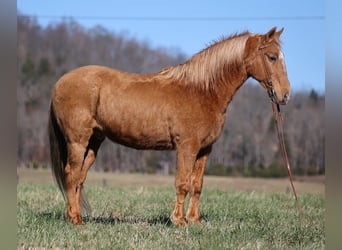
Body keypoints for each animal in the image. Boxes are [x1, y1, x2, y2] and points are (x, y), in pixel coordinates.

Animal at [48, 26, 288, 226]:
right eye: (272, 57)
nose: (284, 95)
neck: (202, 90)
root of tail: (60, 82)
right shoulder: (186, 147)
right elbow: (182, 183)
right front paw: (179, 220)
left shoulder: (205, 149)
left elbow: (197, 184)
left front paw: (194, 220)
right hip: (77, 141)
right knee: (71, 174)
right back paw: (76, 220)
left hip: (94, 142)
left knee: (79, 178)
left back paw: (75, 216)